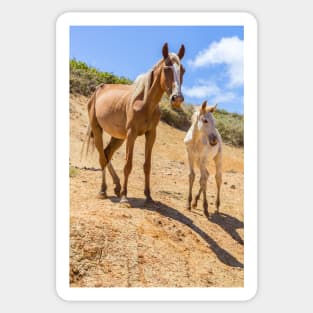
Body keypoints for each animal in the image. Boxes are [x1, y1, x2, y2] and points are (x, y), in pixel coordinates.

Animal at [84, 43, 184, 205]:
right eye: (166, 68)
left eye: (183, 70)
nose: (177, 98)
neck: (144, 103)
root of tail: (98, 90)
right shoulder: (132, 134)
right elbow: (128, 165)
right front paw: (125, 197)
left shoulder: (151, 135)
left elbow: (147, 166)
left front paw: (148, 197)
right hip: (97, 129)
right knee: (102, 158)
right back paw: (103, 190)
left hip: (118, 137)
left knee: (106, 153)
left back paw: (116, 186)